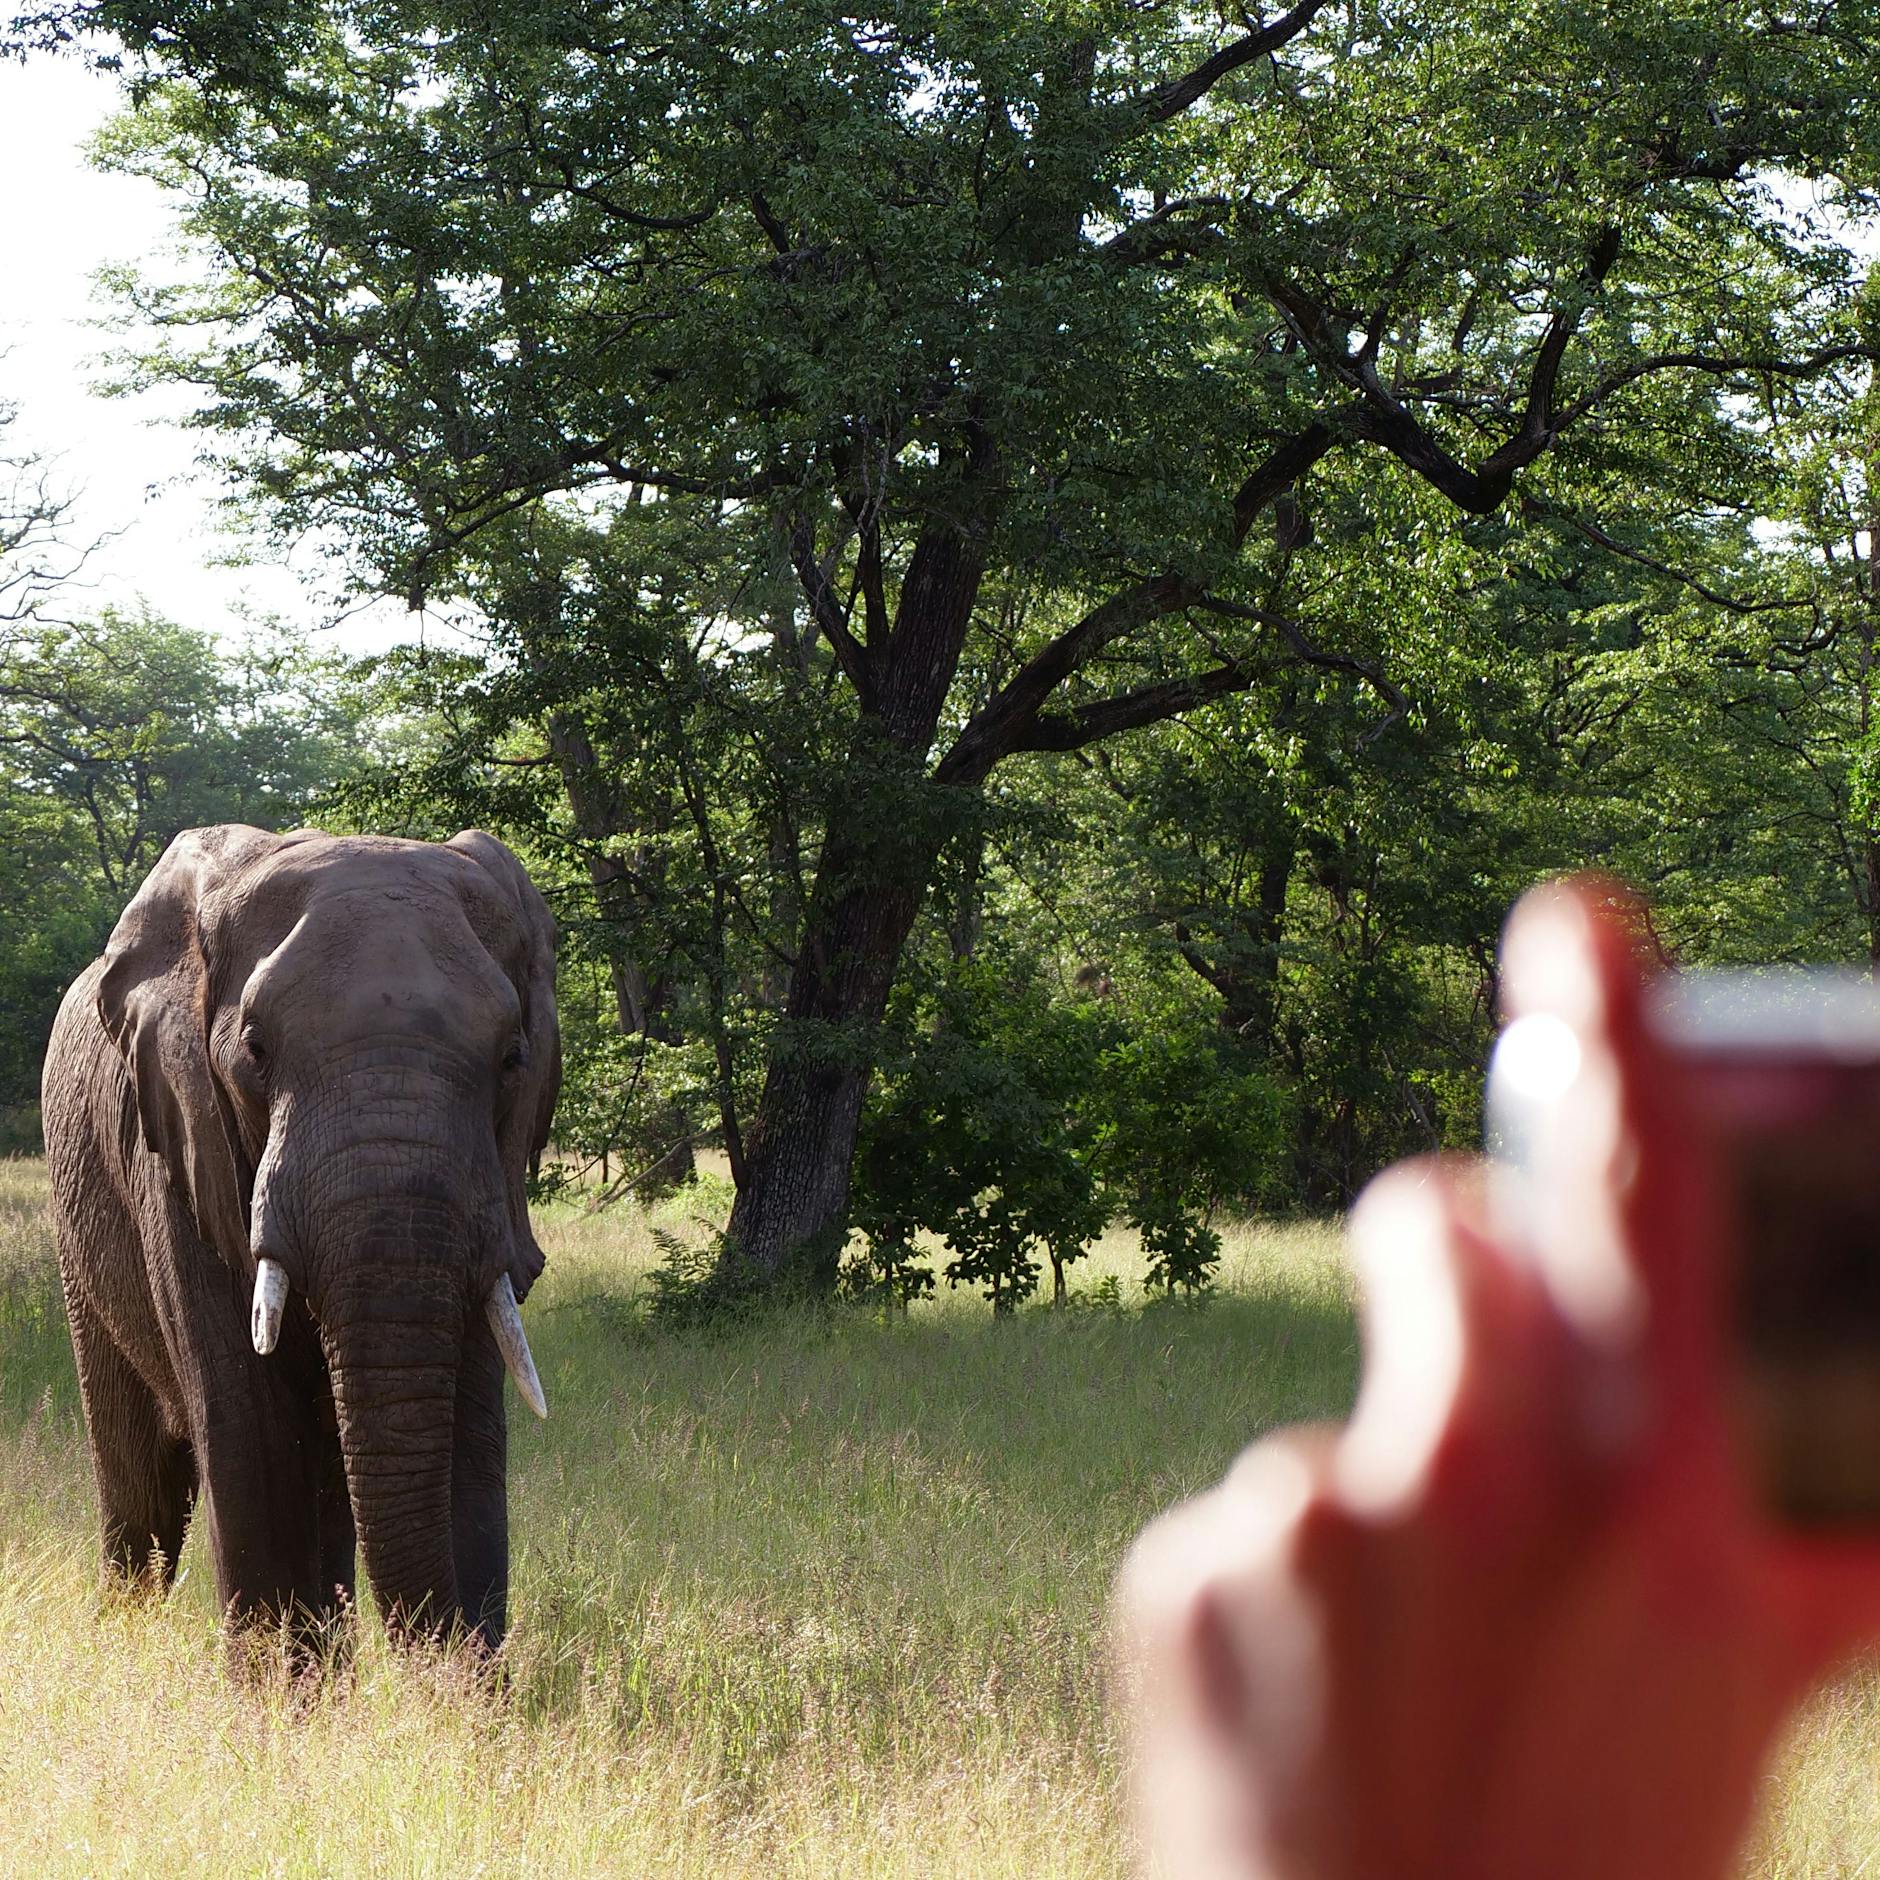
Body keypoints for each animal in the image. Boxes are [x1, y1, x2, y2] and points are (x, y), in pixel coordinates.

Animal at [40, 824, 560, 1654]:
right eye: (253, 1051)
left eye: (514, 1058)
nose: (440, 1659)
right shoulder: (185, 1151)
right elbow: (252, 1433)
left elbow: (467, 1436)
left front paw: (469, 1687)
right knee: (139, 1477)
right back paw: (124, 1632)